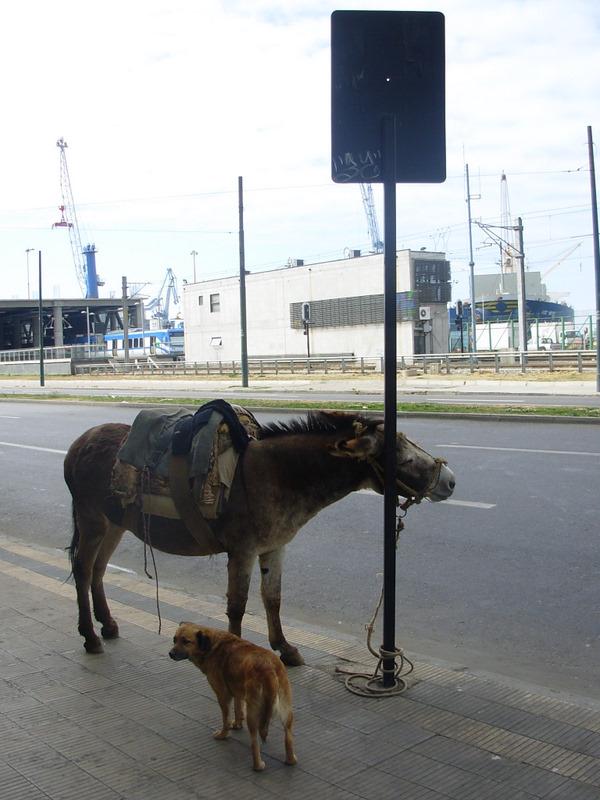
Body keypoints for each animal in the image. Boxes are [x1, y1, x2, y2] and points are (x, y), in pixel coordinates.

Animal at [169, 620, 296, 772]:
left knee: (254, 742)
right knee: (288, 736)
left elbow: (226, 718)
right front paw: (237, 724)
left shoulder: (223, 695)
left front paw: (224, 734)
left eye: (186, 641)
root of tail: (269, 668)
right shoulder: (237, 691)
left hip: (254, 712)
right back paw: (290, 760)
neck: (211, 645)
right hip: (286, 708)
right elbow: (238, 708)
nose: (170, 653)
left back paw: (258, 765)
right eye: (174, 639)